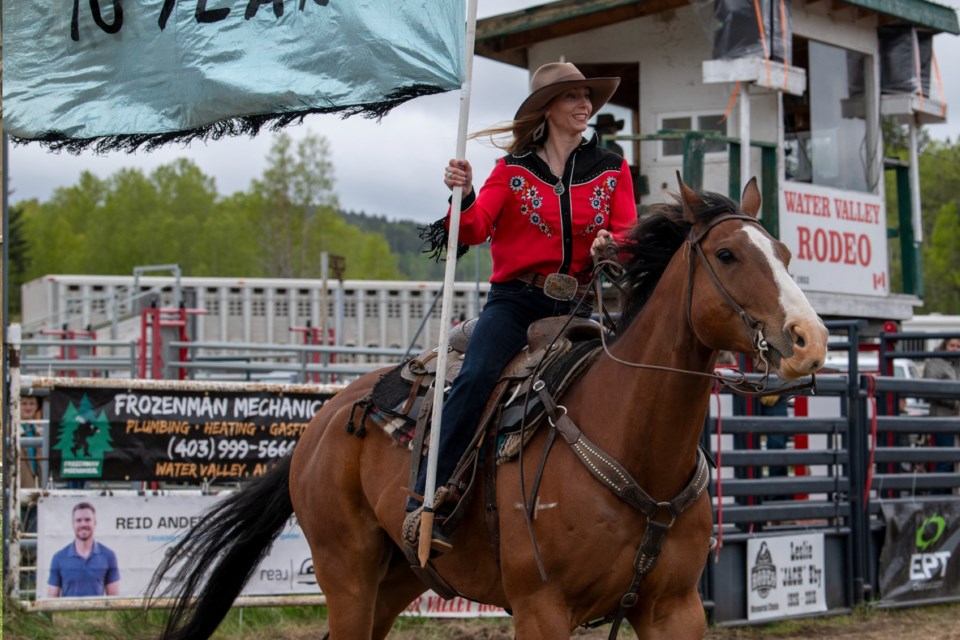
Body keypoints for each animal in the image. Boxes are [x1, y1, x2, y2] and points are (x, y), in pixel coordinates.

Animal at [148, 176, 824, 640]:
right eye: (729, 255)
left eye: (785, 254)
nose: (810, 339)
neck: (631, 440)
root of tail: (322, 421)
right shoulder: (541, 610)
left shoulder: (674, 609)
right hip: (346, 571)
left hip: (397, 578)